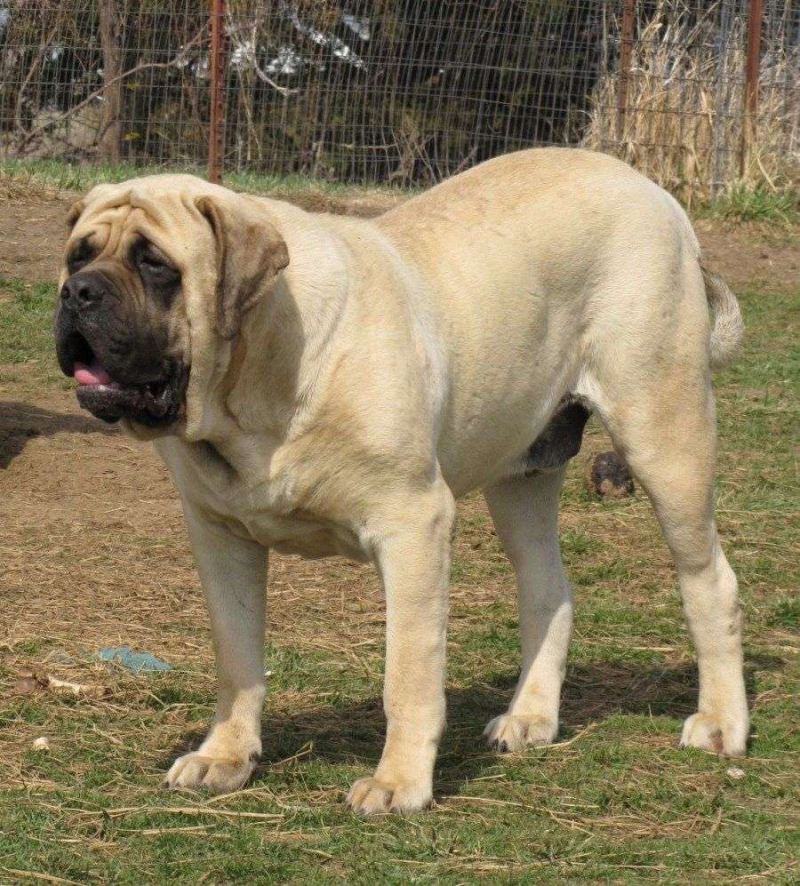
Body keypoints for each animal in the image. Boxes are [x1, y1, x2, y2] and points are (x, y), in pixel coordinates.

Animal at [56, 149, 752, 816]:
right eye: (78, 255)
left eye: (155, 265)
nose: (76, 293)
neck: (255, 382)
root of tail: (655, 192)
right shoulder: (220, 537)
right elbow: (237, 659)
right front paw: (224, 755)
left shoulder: (413, 526)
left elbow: (408, 677)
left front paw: (400, 782)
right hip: (522, 472)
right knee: (548, 590)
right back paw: (530, 717)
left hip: (665, 436)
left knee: (708, 581)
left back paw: (721, 721)